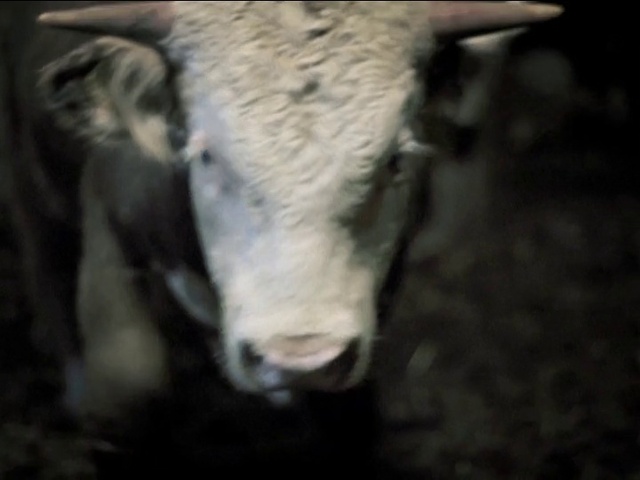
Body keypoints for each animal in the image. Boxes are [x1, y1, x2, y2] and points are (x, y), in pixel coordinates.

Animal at [0, 2, 563, 475]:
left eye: (395, 159)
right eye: (206, 155)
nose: (299, 356)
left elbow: (349, 418)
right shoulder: (108, 222)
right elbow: (128, 382)